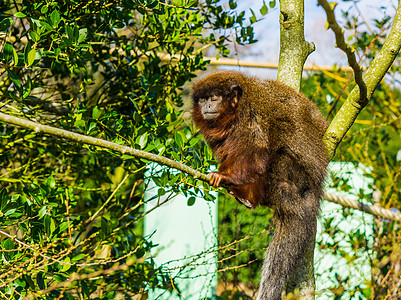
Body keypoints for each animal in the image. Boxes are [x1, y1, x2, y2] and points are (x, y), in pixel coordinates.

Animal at [191, 71, 328, 300]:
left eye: (214, 98)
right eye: (202, 99)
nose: (206, 106)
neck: (235, 112)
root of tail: (316, 188)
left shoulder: (251, 114)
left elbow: (256, 153)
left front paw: (224, 176)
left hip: (298, 180)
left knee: (278, 157)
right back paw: (246, 196)